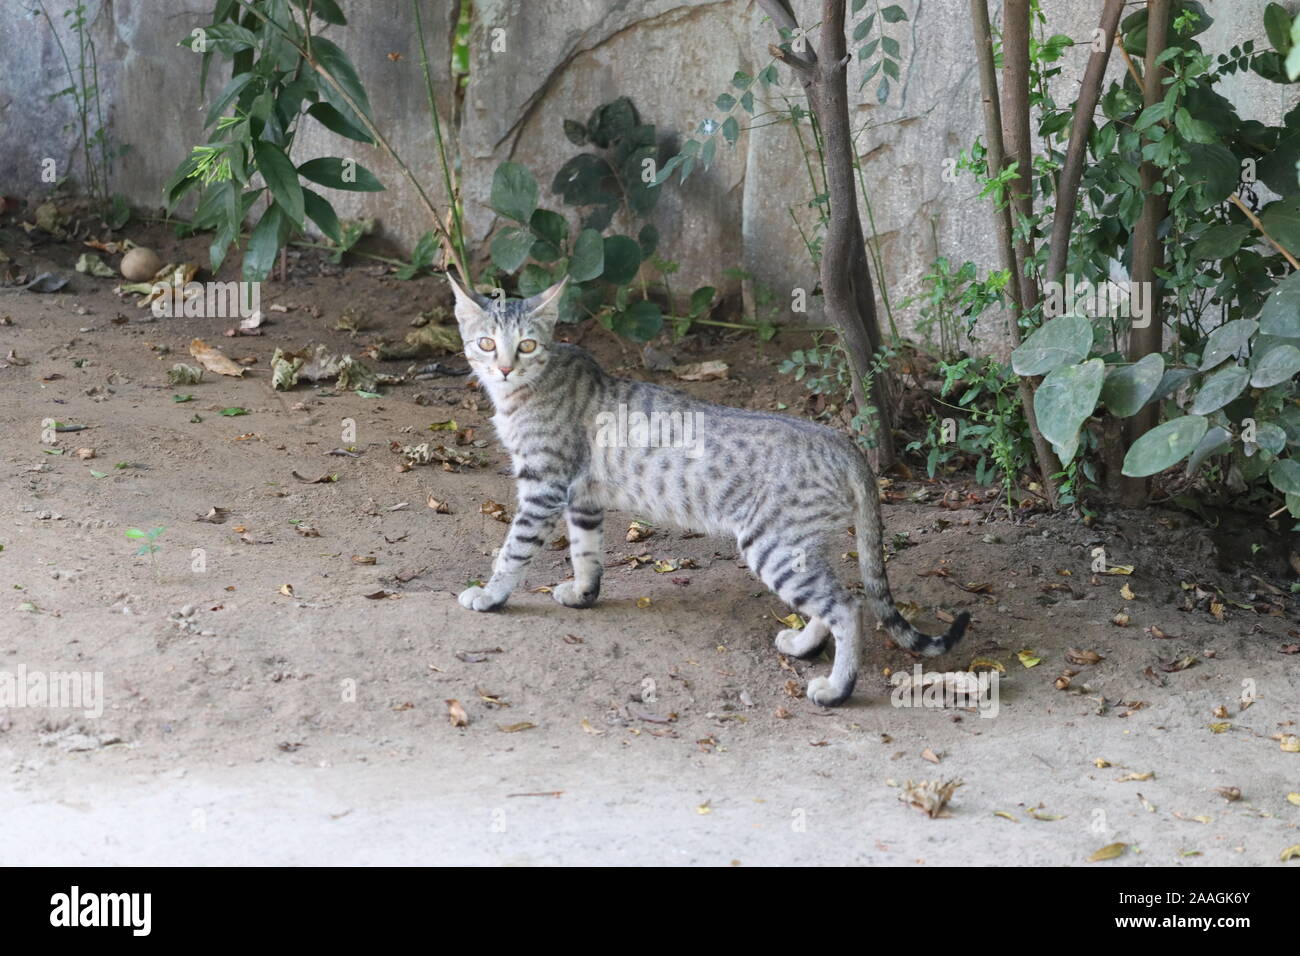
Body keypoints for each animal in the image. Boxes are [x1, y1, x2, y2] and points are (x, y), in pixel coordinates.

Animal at [447, 273, 967, 707]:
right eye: (487, 343)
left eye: (527, 344)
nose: (505, 368)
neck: (523, 393)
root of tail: (843, 441)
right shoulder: (583, 499)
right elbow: (585, 553)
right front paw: (582, 592)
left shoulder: (544, 488)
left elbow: (512, 551)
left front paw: (490, 596)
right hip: (799, 547)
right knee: (832, 599)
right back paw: (802, 645)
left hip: (773, 545)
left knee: (847, 605)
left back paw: (837, 689)